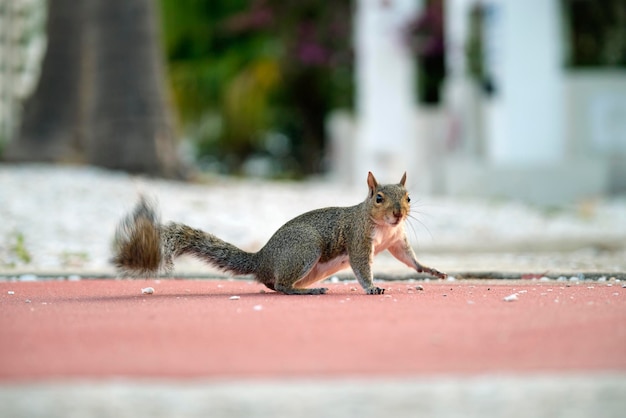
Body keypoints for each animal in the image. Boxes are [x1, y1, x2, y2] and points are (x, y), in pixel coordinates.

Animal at [112, 171, 444, 296]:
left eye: (408, 197)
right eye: (378, 198)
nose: (398, 214)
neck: (386, 227)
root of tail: (261, 259)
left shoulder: (397, 241)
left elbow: (408, 257)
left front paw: (429, 269)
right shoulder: (358, 239)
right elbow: (362, 266)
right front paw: (372, 287)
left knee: (272, 284)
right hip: (305, 249)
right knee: (282, 286)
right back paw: (305, 291)